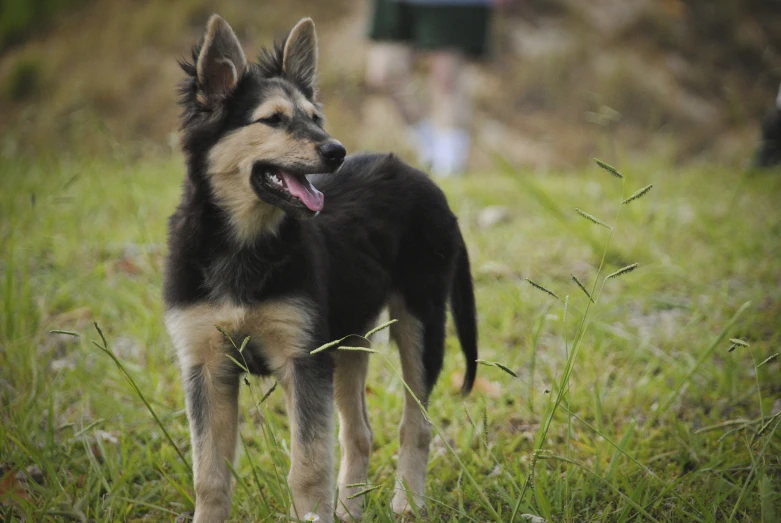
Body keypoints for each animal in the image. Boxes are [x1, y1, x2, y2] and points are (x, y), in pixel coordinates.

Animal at [165, 14, 478, 520]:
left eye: (314, 118)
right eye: (273, 120)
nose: (337, 151)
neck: (245, 245)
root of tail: (426, 180)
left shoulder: (304, 359)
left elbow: (308, 467)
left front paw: (314, 512)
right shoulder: (206, 366)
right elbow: (209, 476)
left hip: (420, 320)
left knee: (417, 426)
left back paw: (408, 503)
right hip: (350, 338)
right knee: (359, 433)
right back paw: (351, 509)